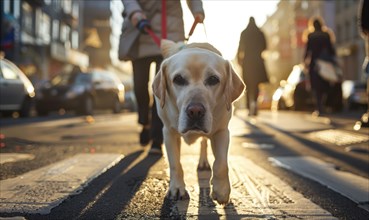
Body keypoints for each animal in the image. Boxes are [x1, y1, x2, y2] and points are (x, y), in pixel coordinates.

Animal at [152, 39, 244, 205]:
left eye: (213, 79)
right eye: (178, 79)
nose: (195, 111)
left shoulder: (222, 131)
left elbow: (221, 163)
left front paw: (221, 190)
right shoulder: (168, 132)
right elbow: (175, 164)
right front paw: (177, 189)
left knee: (204, 143)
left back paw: (203, 163)